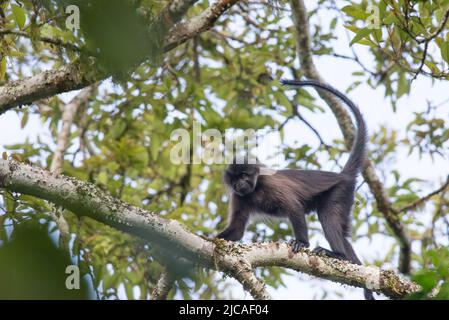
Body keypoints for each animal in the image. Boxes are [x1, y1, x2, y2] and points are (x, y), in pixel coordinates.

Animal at [217, 79, 374, 298]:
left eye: (243, 176)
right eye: (234, 180)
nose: (239, 184)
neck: (255, 189)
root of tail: (342, 175)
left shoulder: (270, 184)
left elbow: (294, 206)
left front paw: (302, 243)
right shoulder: (239, 197)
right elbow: (238, 229)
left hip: (339, 191)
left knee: (327, 215)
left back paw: (340, 255)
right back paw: (355, 266)